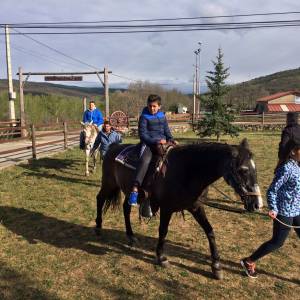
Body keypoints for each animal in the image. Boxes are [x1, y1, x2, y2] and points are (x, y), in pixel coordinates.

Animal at [95, 139, 262, 278]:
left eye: (255, 169)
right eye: (243, 170)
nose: (257, 204)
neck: (186, 171)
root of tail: (113, 147)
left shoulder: (196, 207)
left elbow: (210, 231)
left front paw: (216, 266)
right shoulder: (166, 208)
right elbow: (163, 231)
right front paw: (161, 257)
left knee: (126, 209)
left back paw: (130, 236)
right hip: (109, 184)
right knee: (100, 199)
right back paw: (98, 228)